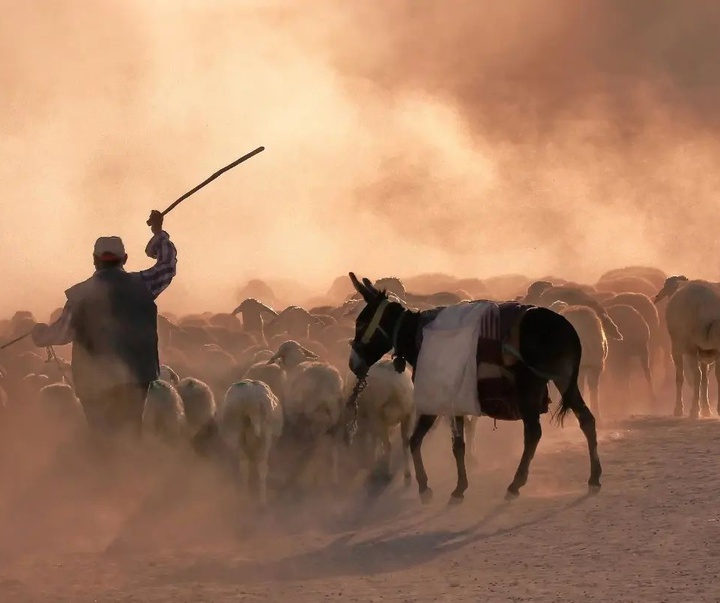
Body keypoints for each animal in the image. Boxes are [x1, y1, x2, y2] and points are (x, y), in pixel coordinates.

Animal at [218, 380, 282, 508]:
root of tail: (252, 399)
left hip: (235, 433)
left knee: (245, 467)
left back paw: (246, 499)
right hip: (265, 432)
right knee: (261, 468)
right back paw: (262, 502)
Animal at [344, 358, 416, 486]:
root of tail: (396, 388)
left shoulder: (371, 420)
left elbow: (374, 442)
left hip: (378, 417)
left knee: (388, 445)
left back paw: (387, 472)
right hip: (408, 415)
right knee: (406, 444)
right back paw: (407, 474)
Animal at [656, 276, 720, 418]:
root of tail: (708, 306)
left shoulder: (676, 349)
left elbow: (680, 378)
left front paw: (678, 409)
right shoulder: (704, 354)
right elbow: (705, 379)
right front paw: (706, 409)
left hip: (691, 347)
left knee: (696, 375)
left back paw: (694, 410)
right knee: (714, 375)